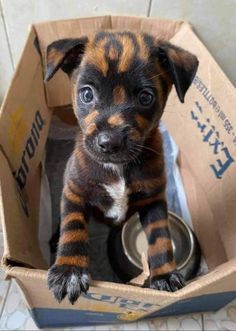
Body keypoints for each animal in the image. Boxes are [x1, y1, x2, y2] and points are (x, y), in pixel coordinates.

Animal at [44, 29, 199, 304]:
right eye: (87, 94)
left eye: (146, 97)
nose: (110, 142)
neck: (117, 168)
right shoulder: (74, 191)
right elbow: (72, 226)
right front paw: (69, 270)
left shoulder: (153, 199)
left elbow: (160, 237)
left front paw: (164, 274)